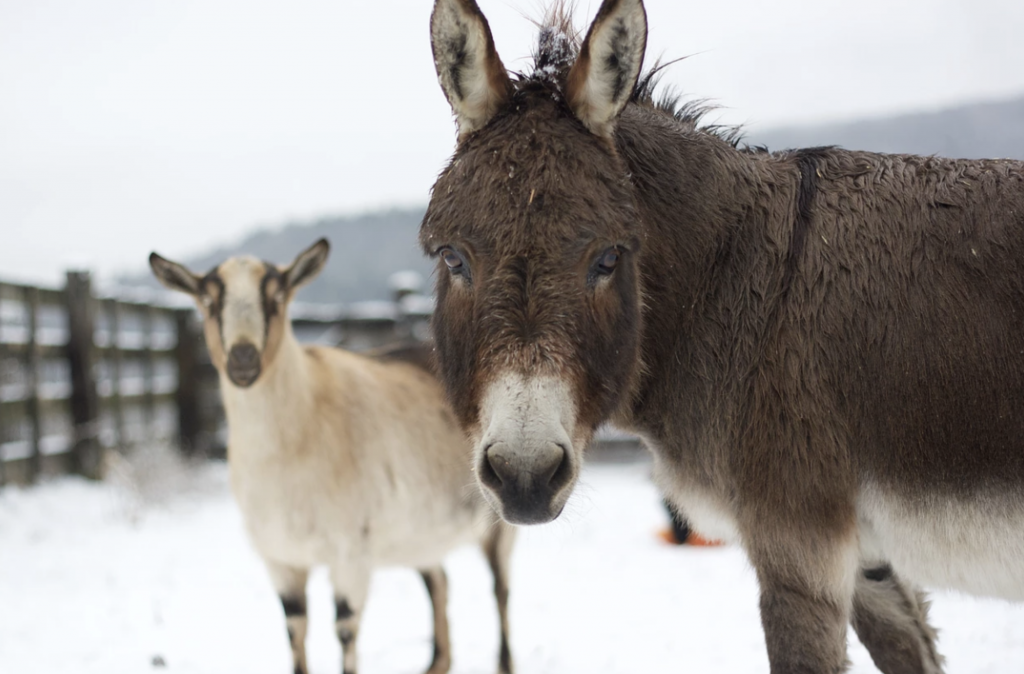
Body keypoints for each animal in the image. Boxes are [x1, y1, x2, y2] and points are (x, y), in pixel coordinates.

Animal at [148, 238, 516, 671]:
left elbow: (345, 631)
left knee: (500, 588)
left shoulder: (350, 554)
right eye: (208, 301)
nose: (243, 358)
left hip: (498, 514)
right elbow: (295, 630)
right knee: (439, 580)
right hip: (418, 529)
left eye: (277, 297)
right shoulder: (281, 559)